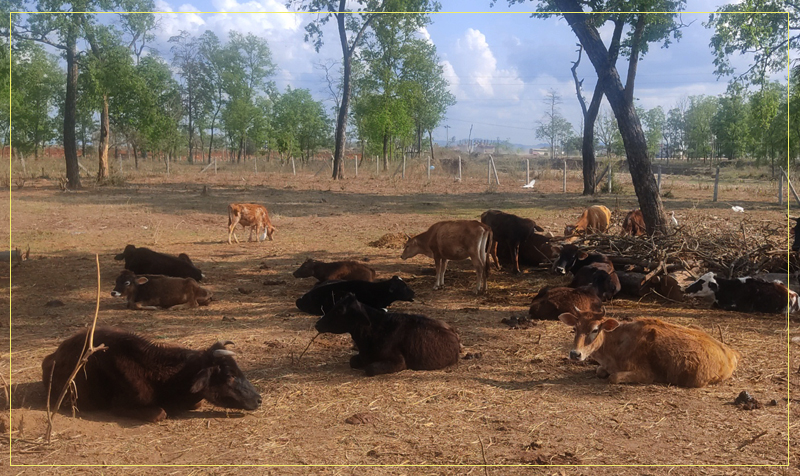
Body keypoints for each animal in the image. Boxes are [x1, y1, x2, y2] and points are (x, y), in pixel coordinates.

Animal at [556, 308, 736, 386]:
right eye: (575, 328)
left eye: (595, 329)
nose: (575, 354)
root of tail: (730, 352)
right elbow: (599, 371)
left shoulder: (646, 374)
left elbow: (613, 377)